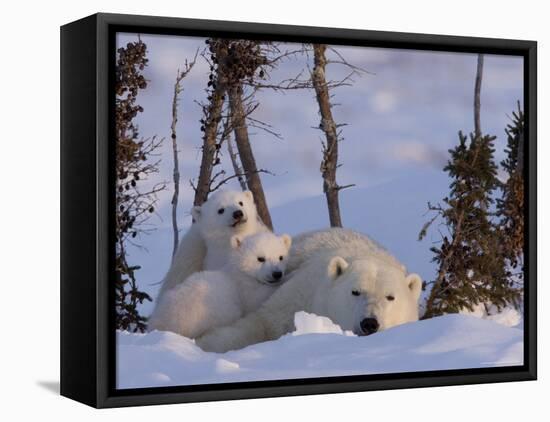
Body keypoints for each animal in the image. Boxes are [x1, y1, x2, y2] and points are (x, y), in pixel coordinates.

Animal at [147, 232, 294, 338]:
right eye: (261, 258)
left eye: (281, 257)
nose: (277, 274)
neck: (240, 272)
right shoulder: (243, 289)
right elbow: (258, 298)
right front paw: (290, 276)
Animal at [197, 227, 422, 352]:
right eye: (355, 291)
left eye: (390, 297)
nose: (369, 323)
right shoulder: (301, 292)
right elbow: (260, 323)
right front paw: (205, 344)